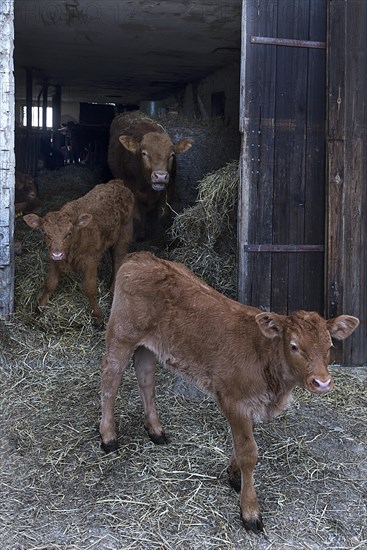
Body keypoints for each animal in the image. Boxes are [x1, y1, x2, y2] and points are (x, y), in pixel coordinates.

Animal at [23, 181, 135, 328]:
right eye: (46, 234)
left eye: (69, 233)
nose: (57, 253)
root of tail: (116, 183)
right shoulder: (53, 260)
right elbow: (50, 284)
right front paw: (39, 308)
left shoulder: (90, 261)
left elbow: (89, 288)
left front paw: (97, 317)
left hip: (125, 234)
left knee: (118, 260)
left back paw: (112, 292)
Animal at [100, 253, 360, 536]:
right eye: (293, 346)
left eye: (329, 345)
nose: (322, 382)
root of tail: (141, 257)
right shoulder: (234, 401)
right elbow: (249, 452)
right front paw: (250, 510)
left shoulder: (251, 405)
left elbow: (242, 445)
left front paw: (234, 476)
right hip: (122, 335)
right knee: (110, 380)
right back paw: (108, 436)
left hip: (149, 346)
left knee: (146, 379)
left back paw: (155, 430)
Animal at [107, 111, 193, 240]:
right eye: (144, 153)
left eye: (172, 155)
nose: (161, 176)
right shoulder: (131, 189)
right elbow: (137, 217)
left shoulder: (170, 185)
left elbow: (164, 216)